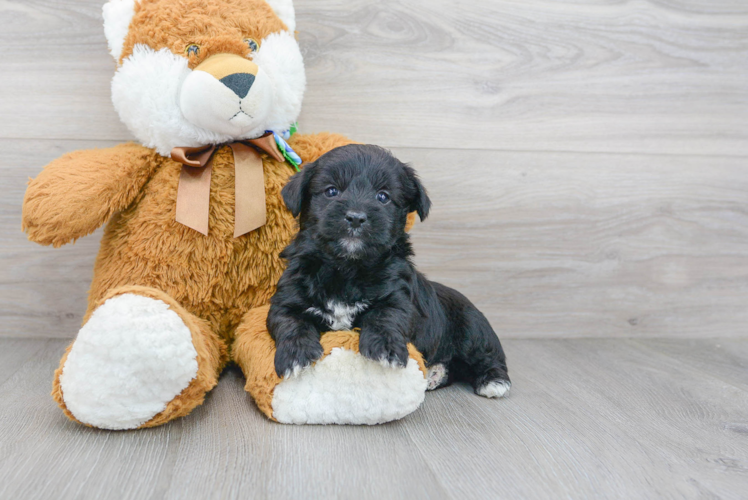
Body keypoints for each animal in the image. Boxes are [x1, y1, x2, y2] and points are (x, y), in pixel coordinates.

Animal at [266, 145, 512, 398]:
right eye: (331, 191)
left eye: (383, 196)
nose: (356, 217)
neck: (347, 267)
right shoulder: (287, 300)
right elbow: (291, 323)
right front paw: (296, 356)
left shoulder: (398, 297)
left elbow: (385, 316)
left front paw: (385, 350)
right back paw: (435, 374)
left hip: (473, 329)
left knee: (486, 356)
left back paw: (493, 381)